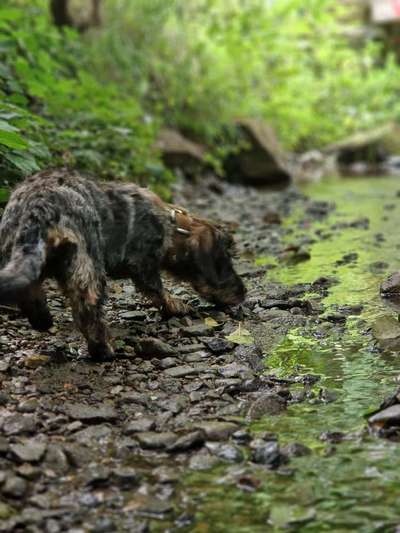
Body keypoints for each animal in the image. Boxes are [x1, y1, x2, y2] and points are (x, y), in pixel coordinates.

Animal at [0, 168, 245, 360]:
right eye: (225, 262)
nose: (243, 294)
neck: (171, 224)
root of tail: (38, 208)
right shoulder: (144, 265)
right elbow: (159, 291)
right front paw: (177, 306)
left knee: (29, 292)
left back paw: (43, 319)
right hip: (88, 267)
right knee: (88, 311)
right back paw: (103, 349)